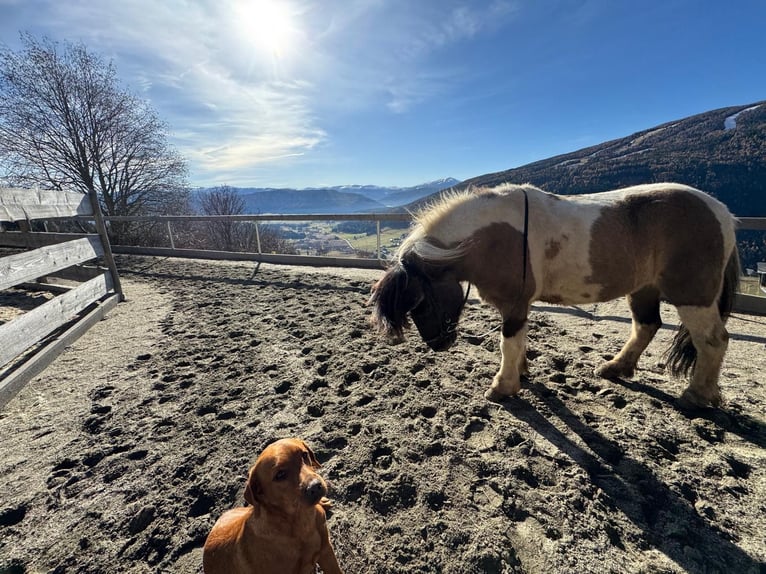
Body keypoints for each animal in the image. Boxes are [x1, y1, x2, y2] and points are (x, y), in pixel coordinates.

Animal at [370, 182, 740, 409]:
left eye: (418, 301)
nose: (438, 344)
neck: (494, 235)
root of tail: (722, 212)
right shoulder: (518, 306)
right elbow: (519, 342)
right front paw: (521, 372)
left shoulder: (515, 305)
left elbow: (508, 342)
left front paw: (503, 386)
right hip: (643, 289)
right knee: (646, 326)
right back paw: (615, 368)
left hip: (693, 296)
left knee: (713, 340)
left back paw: (696, 395)